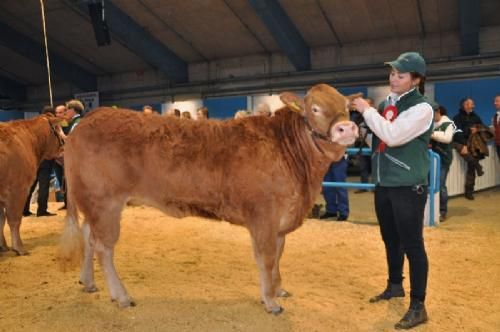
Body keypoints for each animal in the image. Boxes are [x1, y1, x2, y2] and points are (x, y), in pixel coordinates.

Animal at [0, 114, 63, 254]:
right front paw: (19, 248)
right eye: (59, 129)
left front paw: (3, 246)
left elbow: (1, 220)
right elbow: (14, 219)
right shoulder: (18, 190)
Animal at [59, 83, 360, 314]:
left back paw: (88, 282)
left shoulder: (282, 221)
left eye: (347, 106)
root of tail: (89, 119)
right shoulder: (264, 216)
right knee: (103, 247)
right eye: (315, 108)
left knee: (88, 236)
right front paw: (270, 301)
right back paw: (121, 296)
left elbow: (278, 256)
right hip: (105, 202)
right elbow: (266, 258)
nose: (347, 128)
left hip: (94, 202)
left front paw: (279, 288)